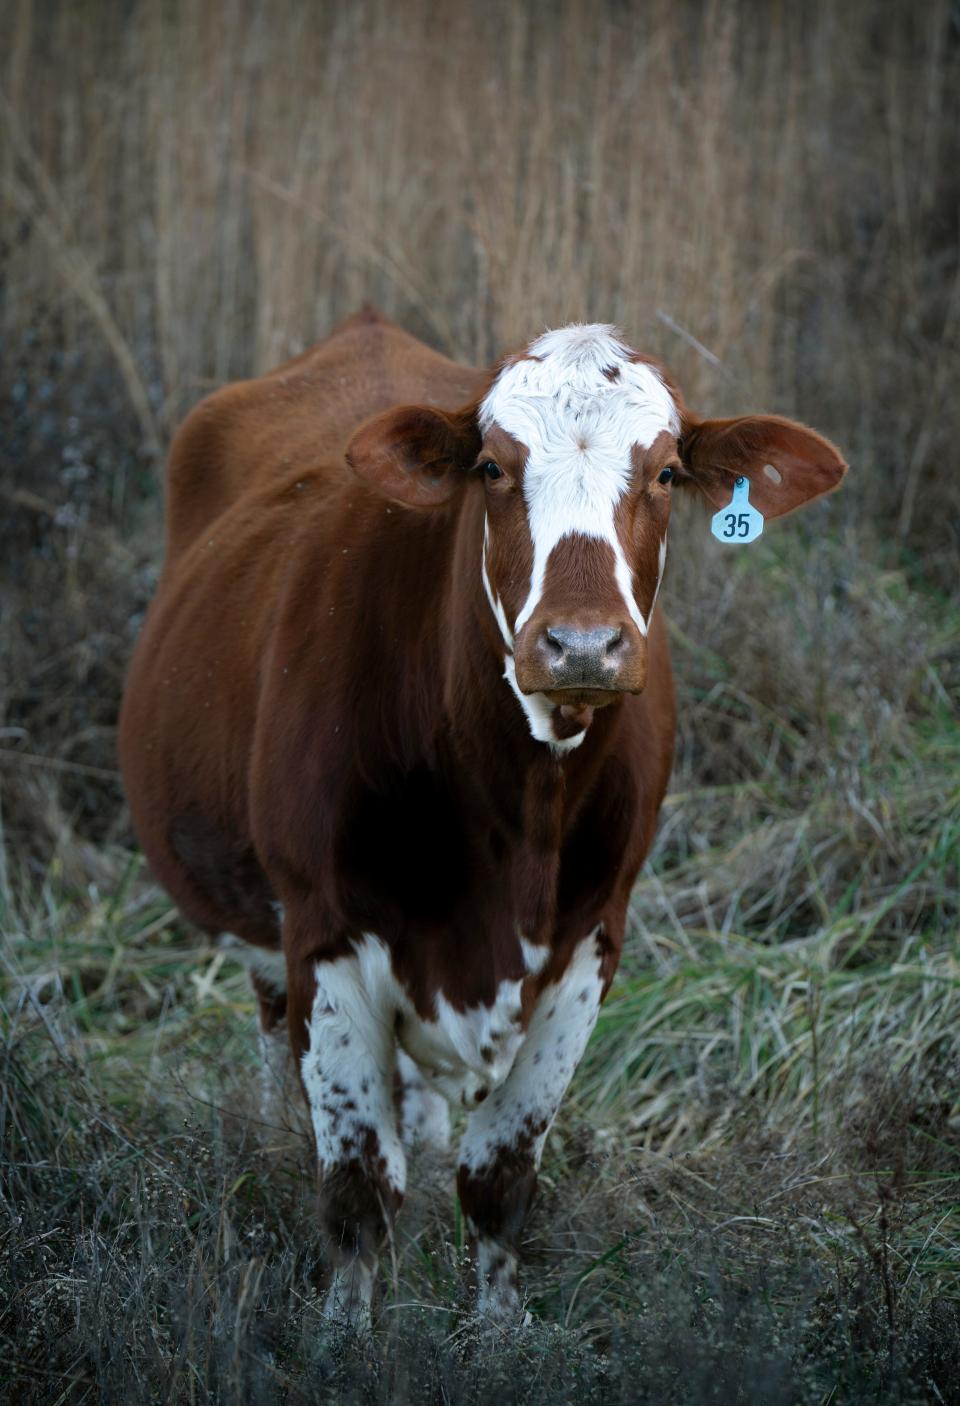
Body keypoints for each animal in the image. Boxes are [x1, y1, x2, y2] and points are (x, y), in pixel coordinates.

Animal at [120, 307, 848, 1327]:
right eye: (495, 469)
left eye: (667, 471)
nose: (581, 644)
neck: (517, 815)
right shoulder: (326, 933)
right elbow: (357, 1189)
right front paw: (344, 1337)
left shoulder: (591, 939)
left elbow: (498, 1178)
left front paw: (502, 1330)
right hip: (264, 923)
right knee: (278, 1045)